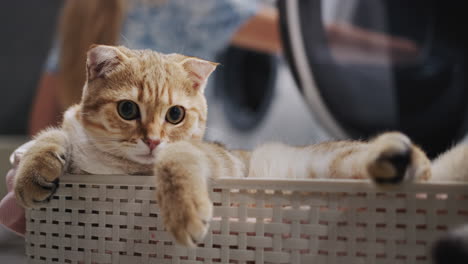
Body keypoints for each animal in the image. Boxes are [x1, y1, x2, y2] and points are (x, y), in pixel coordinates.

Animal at [13, 46, 464, 248]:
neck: (112, 167)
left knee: (422, 166)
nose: (153, 139)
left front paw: (184, 211)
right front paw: (32, 168)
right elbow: (54, 134)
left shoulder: (202, 155)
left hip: (335, 160)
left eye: (175, 115)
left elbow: (176, 160)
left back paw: (399, 157)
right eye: (127, 109)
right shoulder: (73, 132)